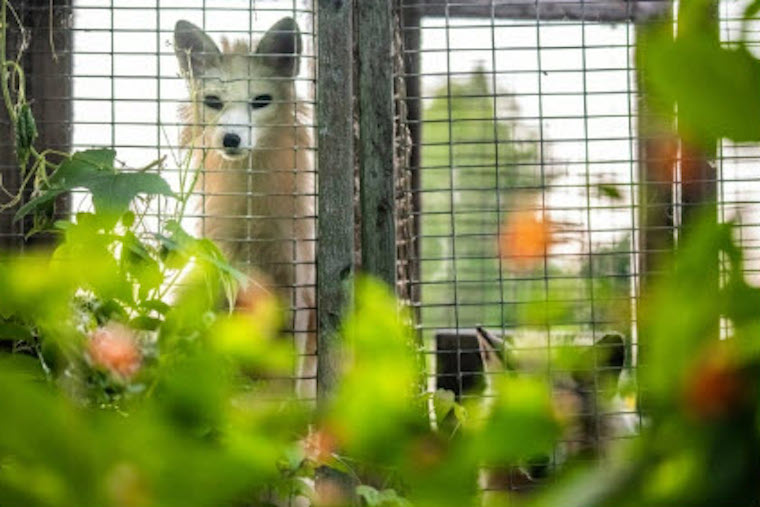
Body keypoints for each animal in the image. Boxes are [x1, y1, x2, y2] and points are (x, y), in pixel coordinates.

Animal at [174, 17, 316, 399]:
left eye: (261, 101)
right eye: (213, 102)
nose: (231, 139)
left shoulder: (297, 288)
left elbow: (293, 380)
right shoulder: (225, 276)